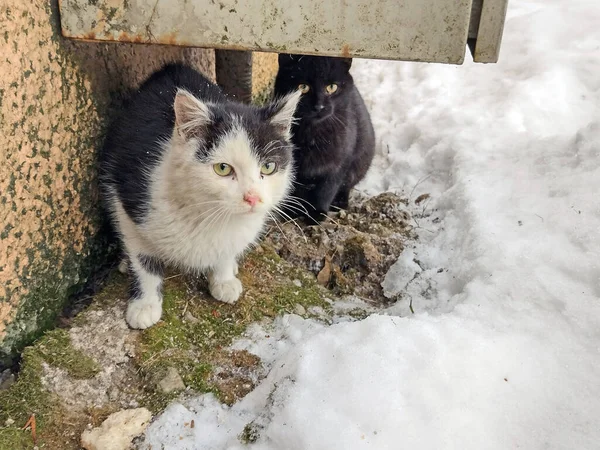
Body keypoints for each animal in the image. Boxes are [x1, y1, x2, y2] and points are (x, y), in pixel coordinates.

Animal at [101, 63, 304, 328]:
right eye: (223, 168)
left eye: (268, 167)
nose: (252, 198)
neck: (205, 213)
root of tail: (171, 67)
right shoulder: (127, 196)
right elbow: (144, 259)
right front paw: (145, 304)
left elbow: (228, 248)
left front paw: (224, 278)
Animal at [274, 54, 376, 223]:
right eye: (303, 87)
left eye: (332, 87)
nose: (319, 106)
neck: (313, 135)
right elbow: (293, 189)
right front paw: (292, 211)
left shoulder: (338, 165)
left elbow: (326, 190)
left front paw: (317, 213)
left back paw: (339, 203)